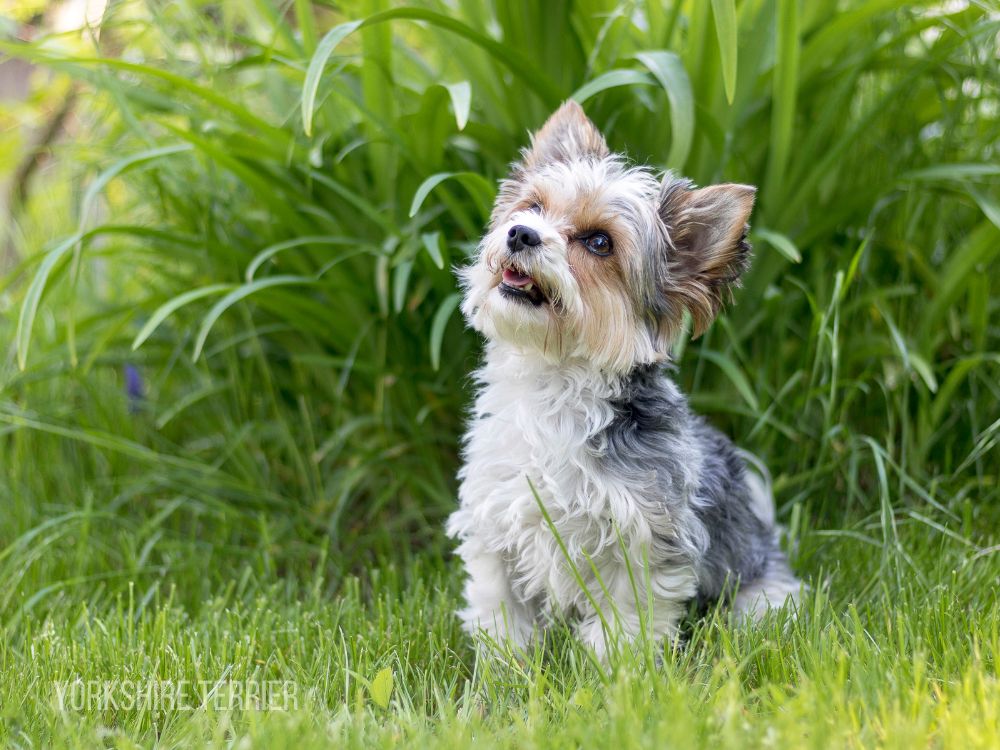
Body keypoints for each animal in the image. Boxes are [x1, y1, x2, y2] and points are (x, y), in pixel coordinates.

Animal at [450, 103, 800, 660]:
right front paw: (504, 668)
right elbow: (502, 613)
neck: (554, 386)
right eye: (532, 207)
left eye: (599, 242)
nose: (521, 233)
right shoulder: (496, 528)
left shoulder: (642, 543)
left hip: (761, 597)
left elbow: (625, 623)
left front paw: (617, 674)